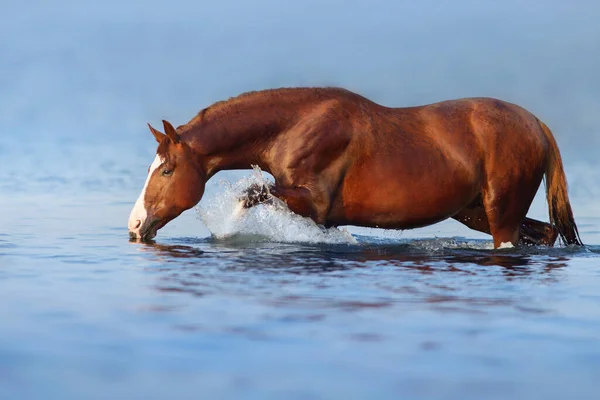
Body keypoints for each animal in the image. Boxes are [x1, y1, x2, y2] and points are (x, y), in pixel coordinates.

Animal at [126, 86, 580, 247]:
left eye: (166, 171)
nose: (135, 225)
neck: (298, 124)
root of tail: (535, 124)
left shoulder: (314, 203)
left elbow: (250, 193)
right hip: (475, 212)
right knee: (545, 232)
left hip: (500, 213)